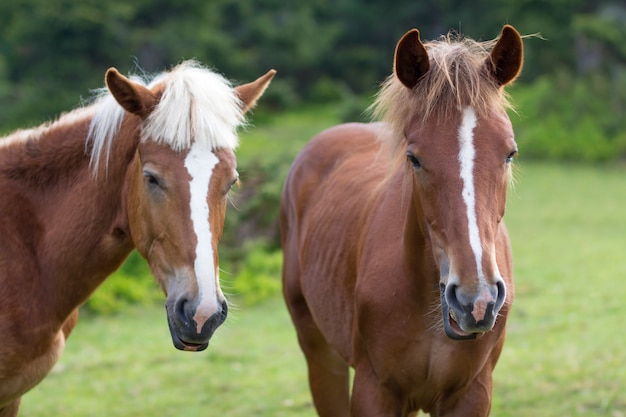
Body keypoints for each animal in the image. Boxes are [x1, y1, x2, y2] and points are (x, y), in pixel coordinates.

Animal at [280, 24, 520, 414]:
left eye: (509, 153)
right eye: (414, 158)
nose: (476, 300)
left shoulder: (472, 393)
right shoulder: (373, 391)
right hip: (320, 356)